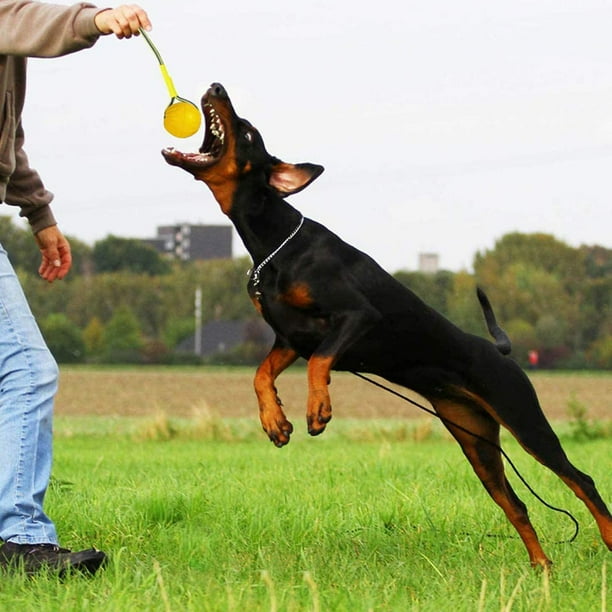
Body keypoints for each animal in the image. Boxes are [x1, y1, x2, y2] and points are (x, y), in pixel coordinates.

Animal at [164, 82, 612, 568]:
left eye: (246, 132)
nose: (216, 86)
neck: (275, 243)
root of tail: (500, 353)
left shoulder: (356, 317)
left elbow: (320, 363)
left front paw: (317, 410)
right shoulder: (290, 338)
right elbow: (260, 374)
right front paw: (275, 422)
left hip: (524, 420)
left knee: (582, 481)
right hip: (475, 441)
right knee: (516, 503)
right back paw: (541, 568)